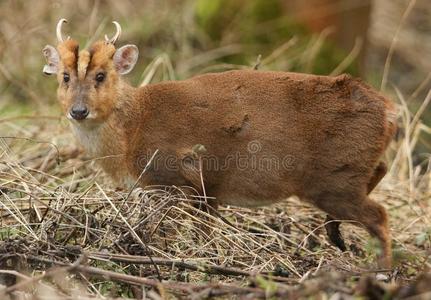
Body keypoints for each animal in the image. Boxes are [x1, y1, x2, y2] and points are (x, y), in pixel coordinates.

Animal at [44, 19, 398, 268]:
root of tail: (389, 110)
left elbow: (178, 227)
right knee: (382, 169)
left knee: (379, 215)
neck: (132, 131)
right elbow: (206, 228)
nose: (78, 110)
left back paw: (377, 269)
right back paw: (335, 234)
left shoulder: (179, 175)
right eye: (64, 76)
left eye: (101, 75)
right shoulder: (209, 190)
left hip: (333, 178)